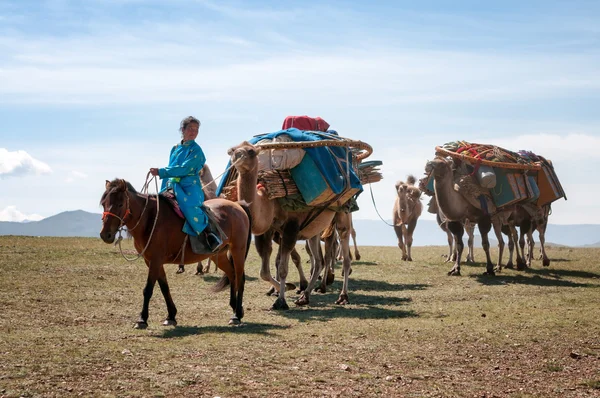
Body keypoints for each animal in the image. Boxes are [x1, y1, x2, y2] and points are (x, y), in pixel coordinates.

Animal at [99, 179, 252, 328]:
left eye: (120, 204)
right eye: (103, 204)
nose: (105, 235)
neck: (151, 219)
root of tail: (238, 206)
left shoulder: (155, 260)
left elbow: (148, 289)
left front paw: (142, 319)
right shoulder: (152, 261)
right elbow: (164, 287)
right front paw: (171, 316)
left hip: (238, 250)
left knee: (240, 278)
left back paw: (236, 315)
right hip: (218, 255)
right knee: (232, 274)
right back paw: (235, 308)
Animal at [227, 141, 354, 310]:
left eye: (251, 151)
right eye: (234, 149)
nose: (237, 155)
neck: (269, 201)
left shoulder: (291, 227)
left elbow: (282, 269)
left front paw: (281, 300)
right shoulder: (267, 232)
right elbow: (264, 271)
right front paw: (288, 287)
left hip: (343, 213)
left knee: (344, 254)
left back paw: (343, 296)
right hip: (314, 229)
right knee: (318, 261)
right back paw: (304, 296)